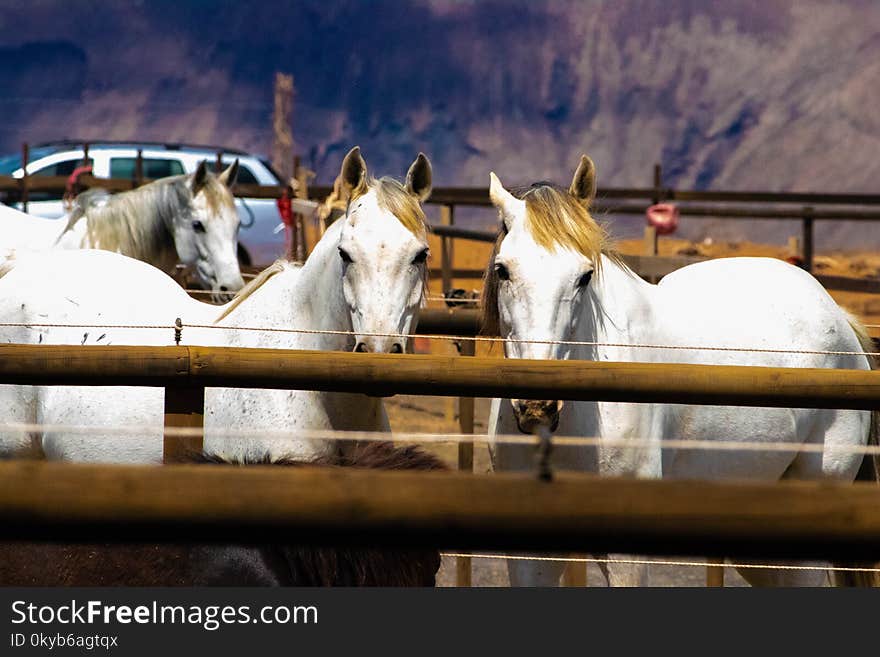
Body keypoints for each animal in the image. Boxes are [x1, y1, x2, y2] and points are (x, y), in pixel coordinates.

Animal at [484, 156, 876, 588]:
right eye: (503, 270)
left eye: (584, 276)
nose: (537, 407)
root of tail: (838, 317)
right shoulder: (528, 553)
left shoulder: (625, 555)